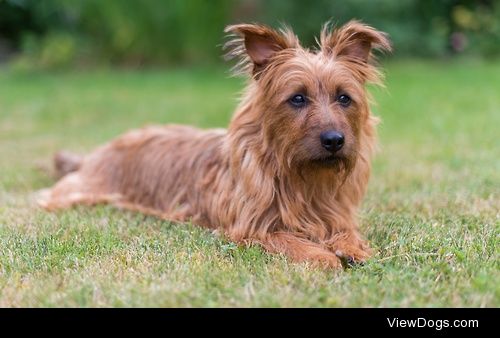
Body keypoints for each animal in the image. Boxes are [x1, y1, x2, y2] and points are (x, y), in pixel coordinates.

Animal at [39, 21, 390, 270]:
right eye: (298, 98)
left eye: (344, 97)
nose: (334, 140)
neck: (299, 177)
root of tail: (96, 154)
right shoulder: (250, 229)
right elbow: (290, 241)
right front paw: (323, 257)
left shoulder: (337, 214)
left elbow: (348, 232)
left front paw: (354, 249)